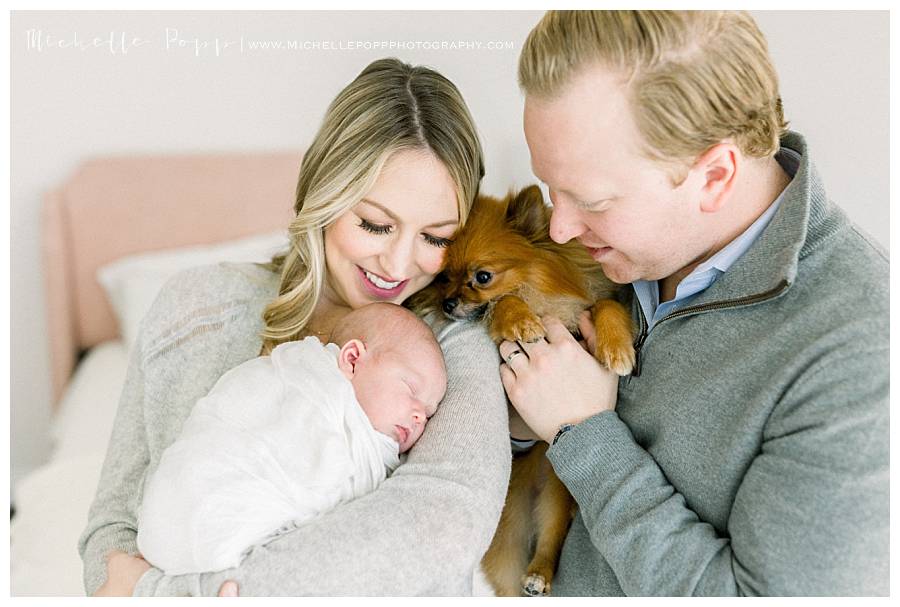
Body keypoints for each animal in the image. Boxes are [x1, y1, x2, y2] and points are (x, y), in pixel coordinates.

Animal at [412, 183, 636, 596]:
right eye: (443, 278)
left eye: (482, 277)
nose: (448, 303)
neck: (542, 297)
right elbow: (506, 306)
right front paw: (520, 319)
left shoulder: (590, 306)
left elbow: (607, 307)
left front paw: (617, 349)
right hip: (511, 525)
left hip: (556, 498)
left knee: (550, 538)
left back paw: (539, 573)